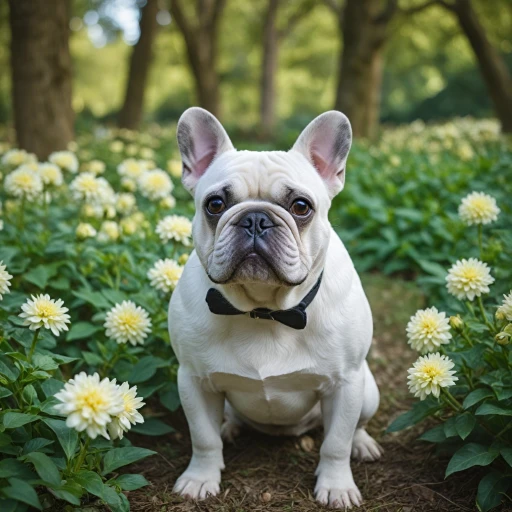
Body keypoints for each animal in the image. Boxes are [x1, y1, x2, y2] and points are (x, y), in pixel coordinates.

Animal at [170, 108, 382, 508]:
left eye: (301, 207)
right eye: (215, 205)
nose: (255, 217)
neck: (265, 309)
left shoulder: (346, 383)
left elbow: (336, 443)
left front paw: (336, 486)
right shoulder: (193, 380)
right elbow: (202, 438)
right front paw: (200, 478)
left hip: (367, 392)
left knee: (355, 427)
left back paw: (363, 444)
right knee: (222, 423)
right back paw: (229, 426)